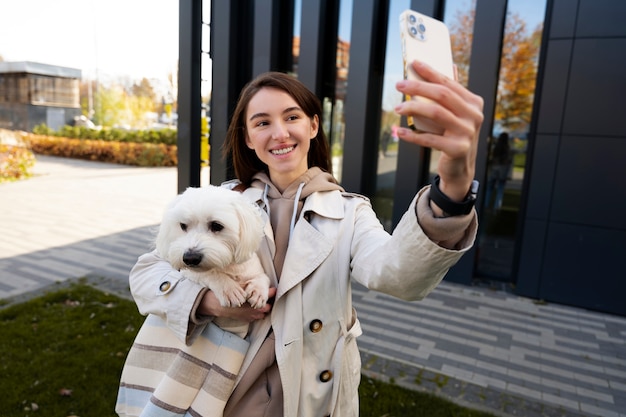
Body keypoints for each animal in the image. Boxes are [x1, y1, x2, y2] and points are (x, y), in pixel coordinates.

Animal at [155, 185, 270, 334]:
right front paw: (228, 288)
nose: (190, 258)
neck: (227, 265)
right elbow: (208, 273)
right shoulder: (187, 271)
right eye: (182, 225)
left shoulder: (253, 269)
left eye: (216, 225)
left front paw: (258, 290)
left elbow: (262, 277)